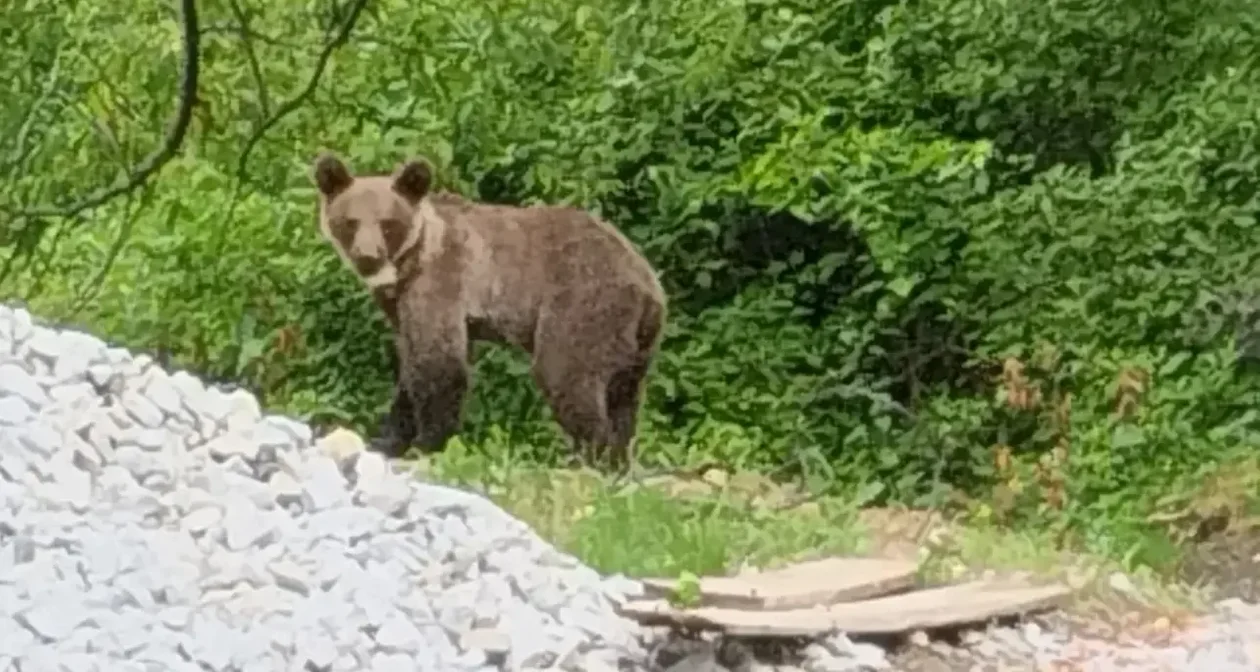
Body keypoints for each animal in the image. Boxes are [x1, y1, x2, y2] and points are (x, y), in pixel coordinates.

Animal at [309, 151, 665, 469]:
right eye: (351, 221)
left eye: (387, 223)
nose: (367, 256)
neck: (410, 264)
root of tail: (647, 283)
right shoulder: (404, 307)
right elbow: (412, 366)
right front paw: (388, 439)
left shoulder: (443, 283)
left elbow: (438, 364)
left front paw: (426, 443)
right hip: (637, 340)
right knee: (624, 394)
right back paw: (620, 458)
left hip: (584, 302)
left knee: (566, 372)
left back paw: (594, 457)